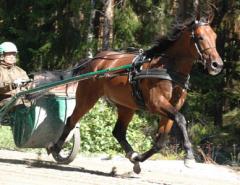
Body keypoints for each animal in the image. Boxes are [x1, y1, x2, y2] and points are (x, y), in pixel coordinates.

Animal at [48, 19, 223, 173]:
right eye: (200, 37)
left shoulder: (171, 108)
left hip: (126, 106)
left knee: (118, 132)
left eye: (215, 37)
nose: (217, 65)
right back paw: (56, 149)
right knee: (71, 120)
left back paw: (132, 155)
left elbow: (160, 141)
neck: (168, 69)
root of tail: (94, 60)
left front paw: (138, 158)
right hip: (87, 98)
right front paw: (189, 157)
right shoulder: (157, 104)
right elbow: (180, 119)